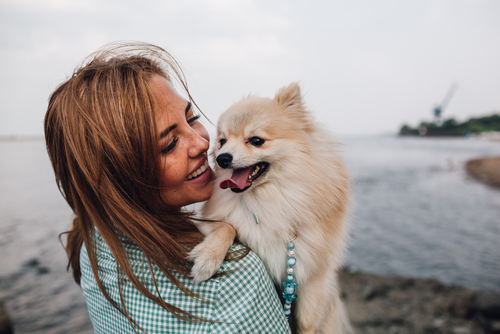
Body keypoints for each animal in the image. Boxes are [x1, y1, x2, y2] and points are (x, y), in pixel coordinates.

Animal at [190, 83, 352, 334]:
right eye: (222, 141)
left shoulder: (314, 274)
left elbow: (307, 322)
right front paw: (208, 258)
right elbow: (228, 227)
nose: (222, 158)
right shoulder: (210, 219)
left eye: (256, 140)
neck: (267, 198)